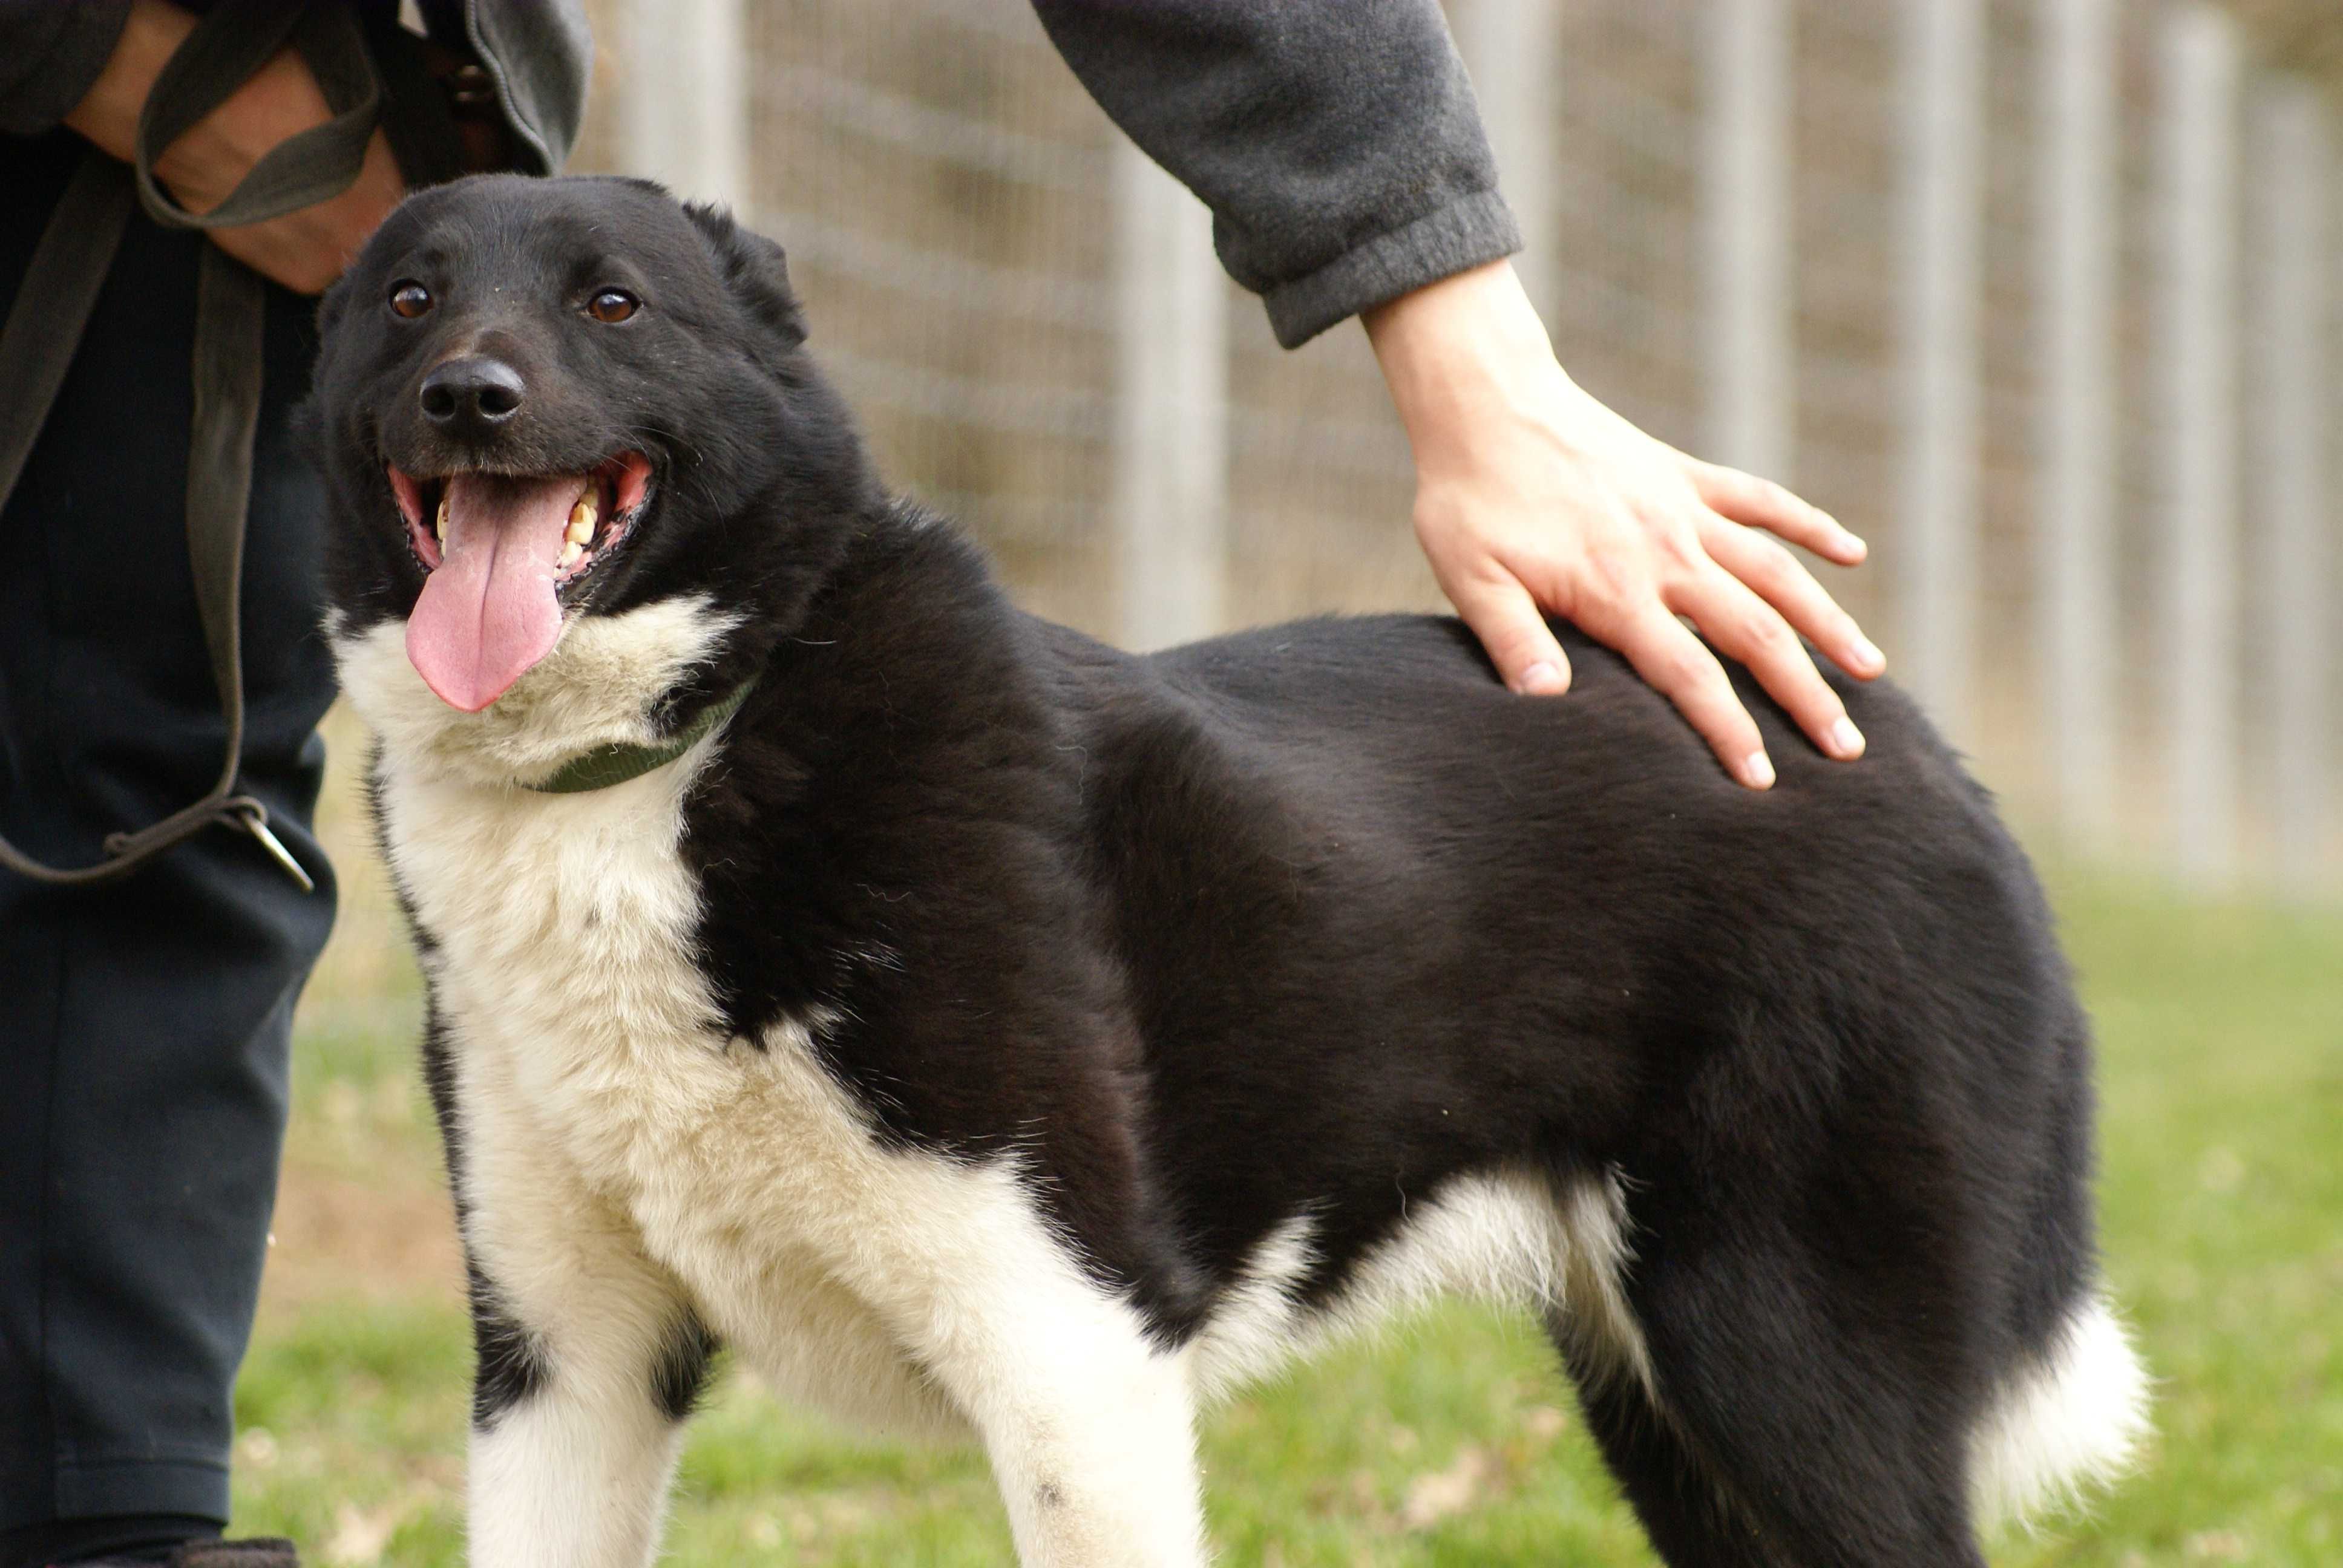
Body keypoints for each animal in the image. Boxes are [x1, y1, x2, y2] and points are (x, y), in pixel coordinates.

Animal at [302, 177, 2146, 1556]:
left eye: (614, 305)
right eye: (409, 299)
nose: (469, 396)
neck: (680, 743)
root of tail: (1902, 739)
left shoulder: (1073, 1351)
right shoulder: (569, 1371)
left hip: (1789, 1353)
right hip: (1670, 1390)